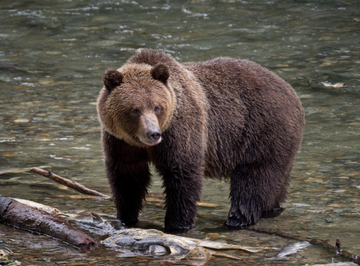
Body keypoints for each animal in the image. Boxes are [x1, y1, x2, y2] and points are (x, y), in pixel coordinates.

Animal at [97, 48, 306, 232]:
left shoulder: (180, 130)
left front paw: (177, 224)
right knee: (276, 183)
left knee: (253, 178)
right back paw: (271, 209)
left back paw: (237, 219)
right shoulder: (121, 142)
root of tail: (292, 93)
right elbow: (128, 177)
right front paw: (126, 217)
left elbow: (182, 174)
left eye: (157, 107)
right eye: (135, 109)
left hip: (263, 131)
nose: (153, 133)